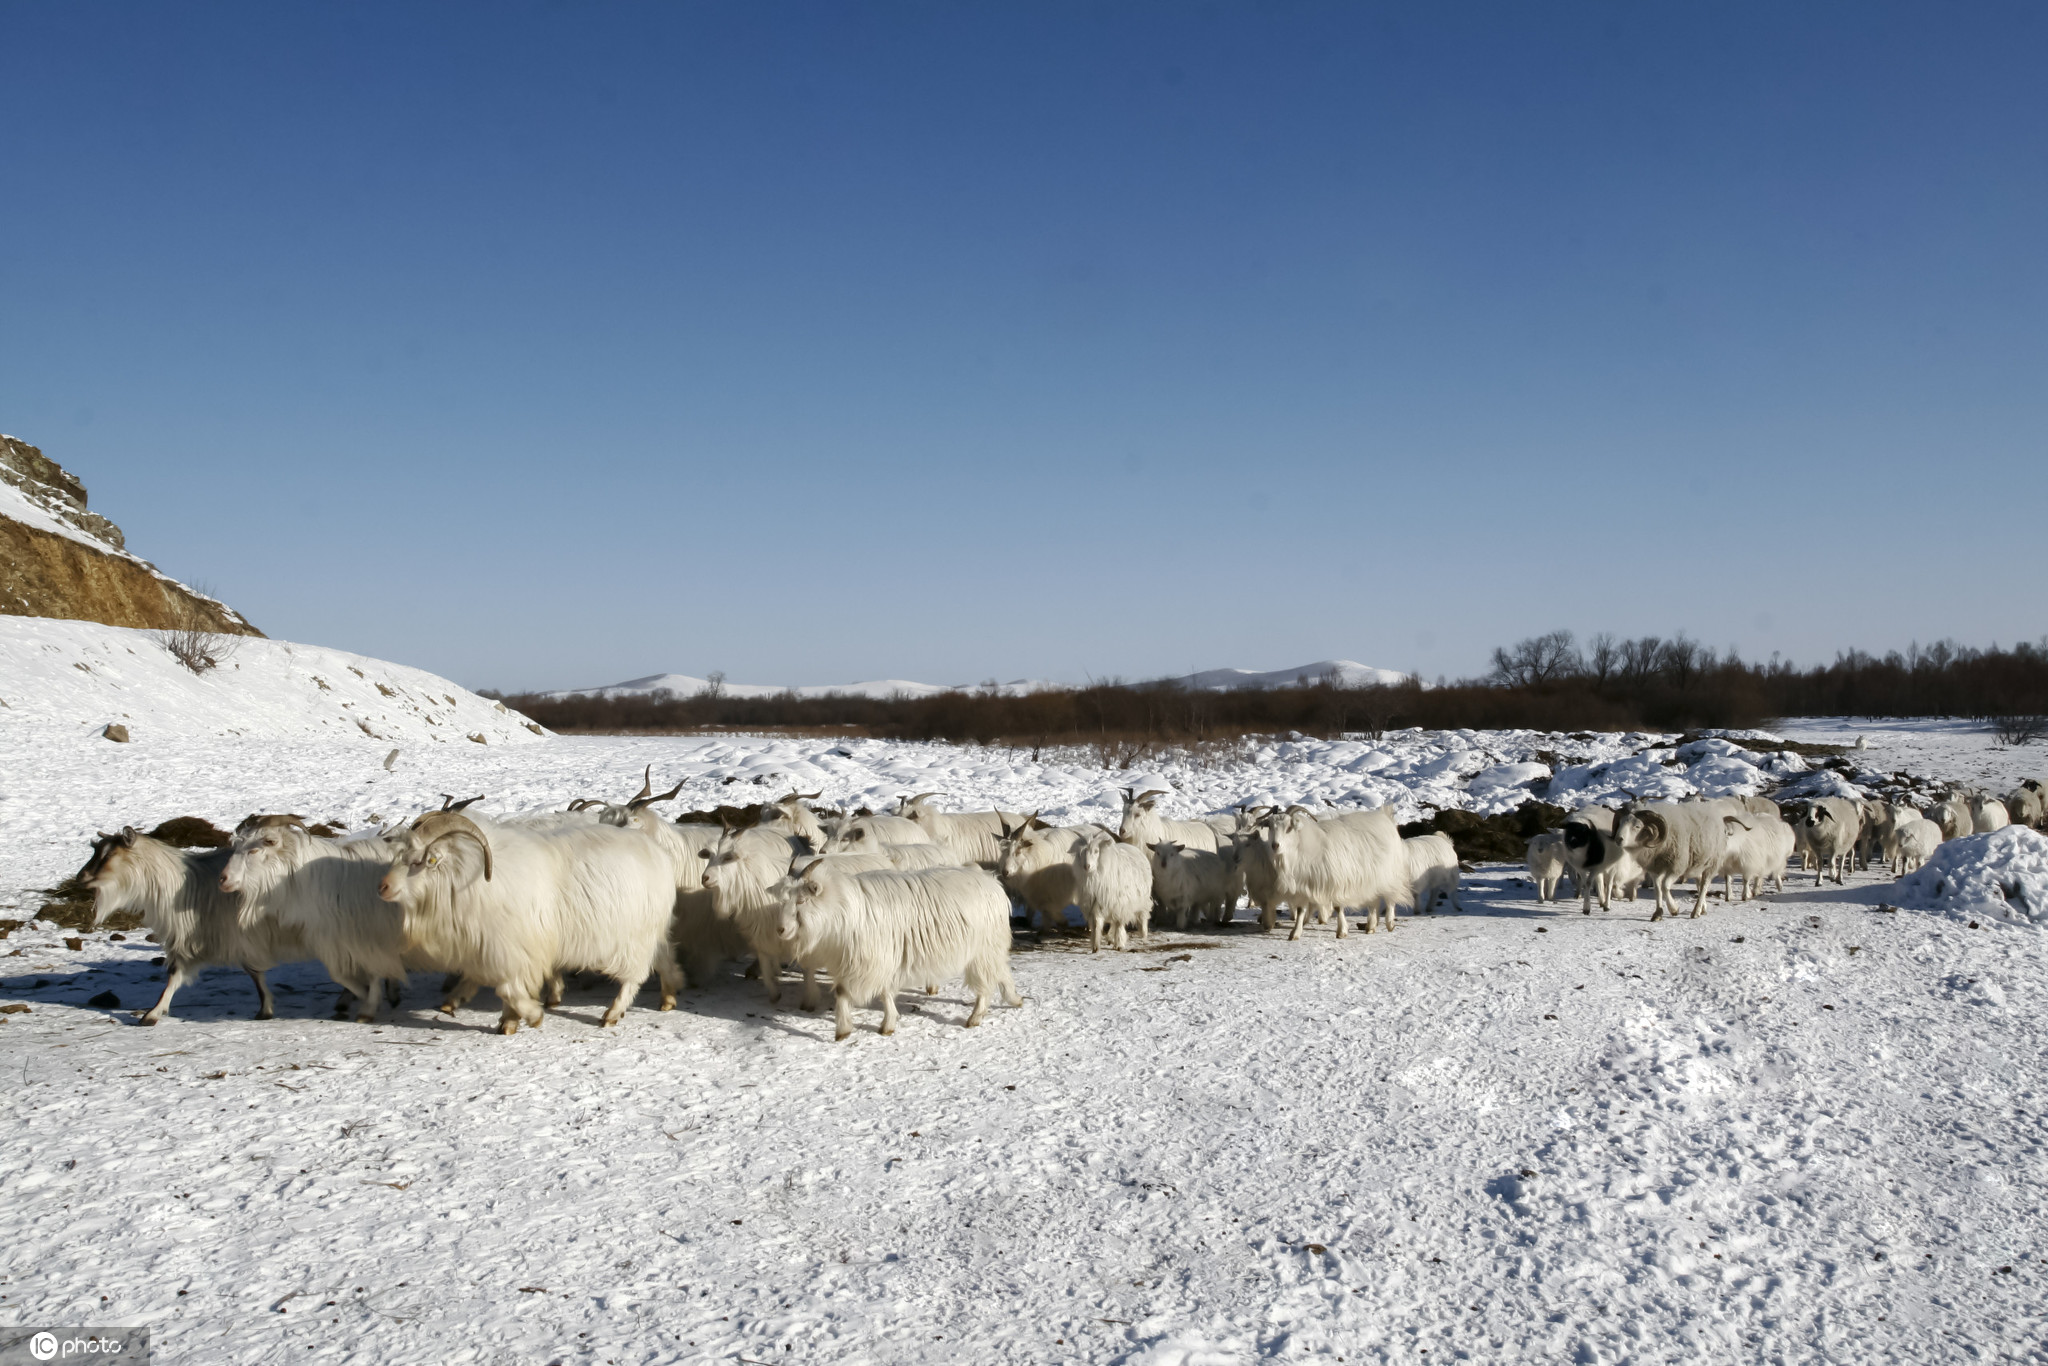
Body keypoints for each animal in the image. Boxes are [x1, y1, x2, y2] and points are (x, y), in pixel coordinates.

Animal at [770, 860, 1019, 1040]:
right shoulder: (871, 962)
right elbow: (882, 991)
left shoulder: (870, 962)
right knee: (1003, 971)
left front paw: (844, 1030)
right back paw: (1015, 999)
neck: (840, 911)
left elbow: (846, 992)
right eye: (783, 901)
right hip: (992, 949)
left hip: (983, 951)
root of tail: (992, 882)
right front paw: (882, 1025)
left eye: (801, 901)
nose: (780, 930)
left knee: (986, 985)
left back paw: (975, 1017)